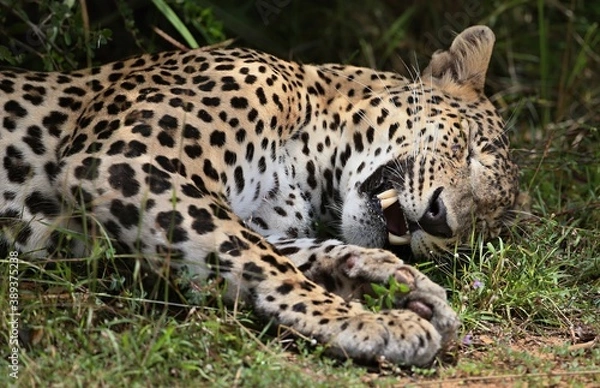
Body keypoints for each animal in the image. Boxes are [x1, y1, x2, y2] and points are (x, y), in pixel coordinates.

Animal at [0, 25, 524, 366]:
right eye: (471, 148)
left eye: (478, 228)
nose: (440, 221)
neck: (309, 160)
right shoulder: (129, 161)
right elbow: (265, 260)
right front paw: (372, 323)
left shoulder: (247, 218)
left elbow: (286, 252)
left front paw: (398, 283)